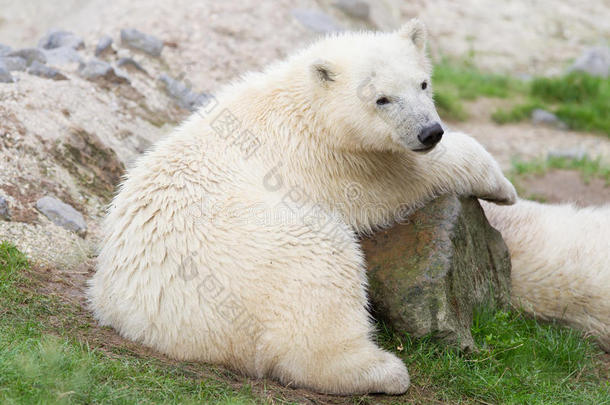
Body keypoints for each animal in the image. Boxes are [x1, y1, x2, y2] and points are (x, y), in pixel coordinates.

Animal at [88, 19, 520, 394]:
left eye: (423, 83)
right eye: (382, 99)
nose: (429, 132)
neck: (308, 105)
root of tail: (142, 317)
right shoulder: (338, 162)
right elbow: (406, 177)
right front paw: (504, 188)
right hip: (253, 251)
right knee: (322, 266)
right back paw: (382, 371)